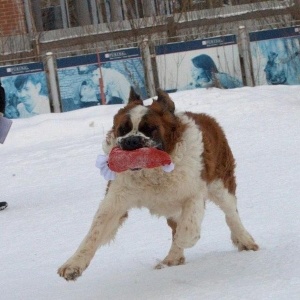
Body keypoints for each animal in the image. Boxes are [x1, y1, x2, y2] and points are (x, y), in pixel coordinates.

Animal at [58, 88, 258, 280]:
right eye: (122, 129)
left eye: (150, 128)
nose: (131, 141)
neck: (153, 172)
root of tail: (208, 119)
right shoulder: (116, 200)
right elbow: (95, 232)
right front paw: (73, 265)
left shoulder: (193, 191)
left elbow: (188, 227)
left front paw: (187, 239)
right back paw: (173, 258)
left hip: (220, 184)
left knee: (231, 214)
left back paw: (245, 240)